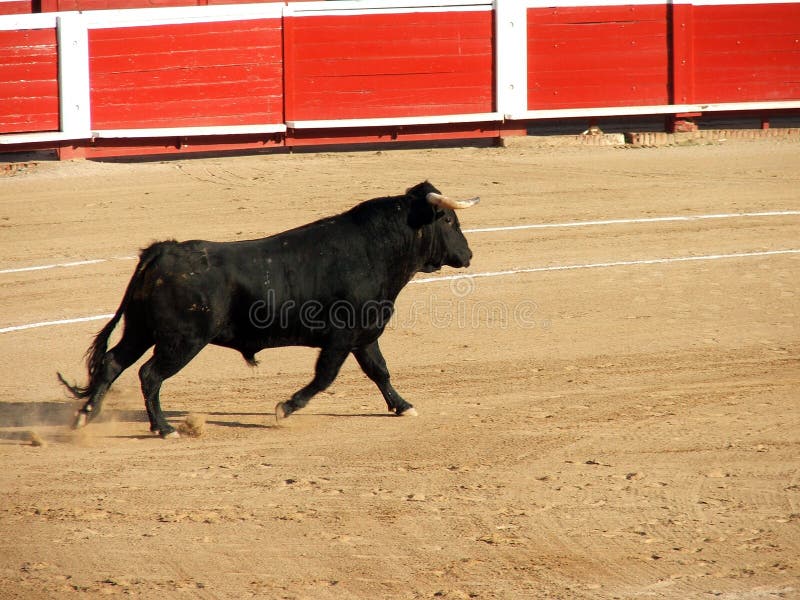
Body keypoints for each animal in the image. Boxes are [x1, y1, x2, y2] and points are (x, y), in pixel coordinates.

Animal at [61, 180, 482, 438]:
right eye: (448, 219)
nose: (468, 255)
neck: (375, 251)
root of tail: (163, 250)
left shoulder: (364, 335)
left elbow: (379, 371)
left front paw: (403, 406)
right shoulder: (342, 337)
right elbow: (325, 377)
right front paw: (285, 407)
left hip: (141, 329)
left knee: (113, 363)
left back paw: (86, 416)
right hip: (182, 341)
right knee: (149, 375)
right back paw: (164, 428)